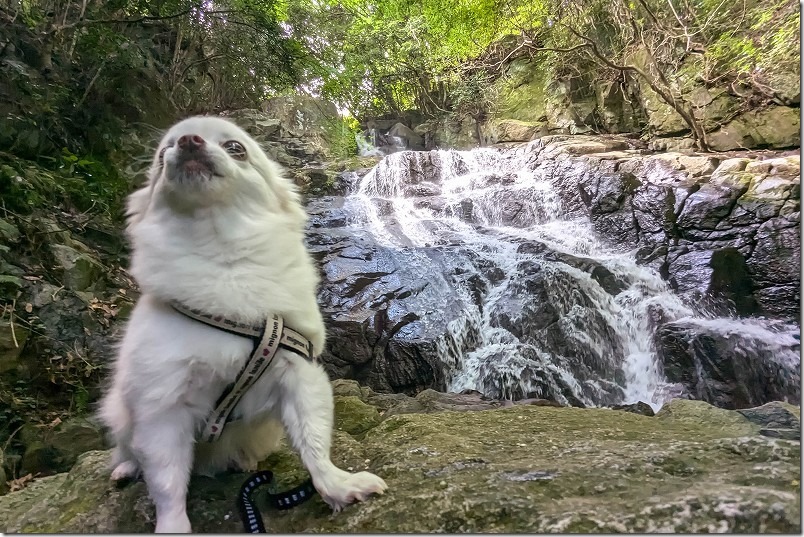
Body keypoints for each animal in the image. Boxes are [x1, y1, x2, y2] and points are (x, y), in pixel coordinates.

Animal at [99, 115, 388, 528]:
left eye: (235, 148)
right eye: (162, 154)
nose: (188, 141)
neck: (222, 255)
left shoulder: (298, 372)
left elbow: (314, 441)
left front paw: (337, 486)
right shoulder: (161, 405)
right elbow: (167, 482)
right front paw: (173, 526)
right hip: (119, 410)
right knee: (129, 448)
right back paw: (125, 467)